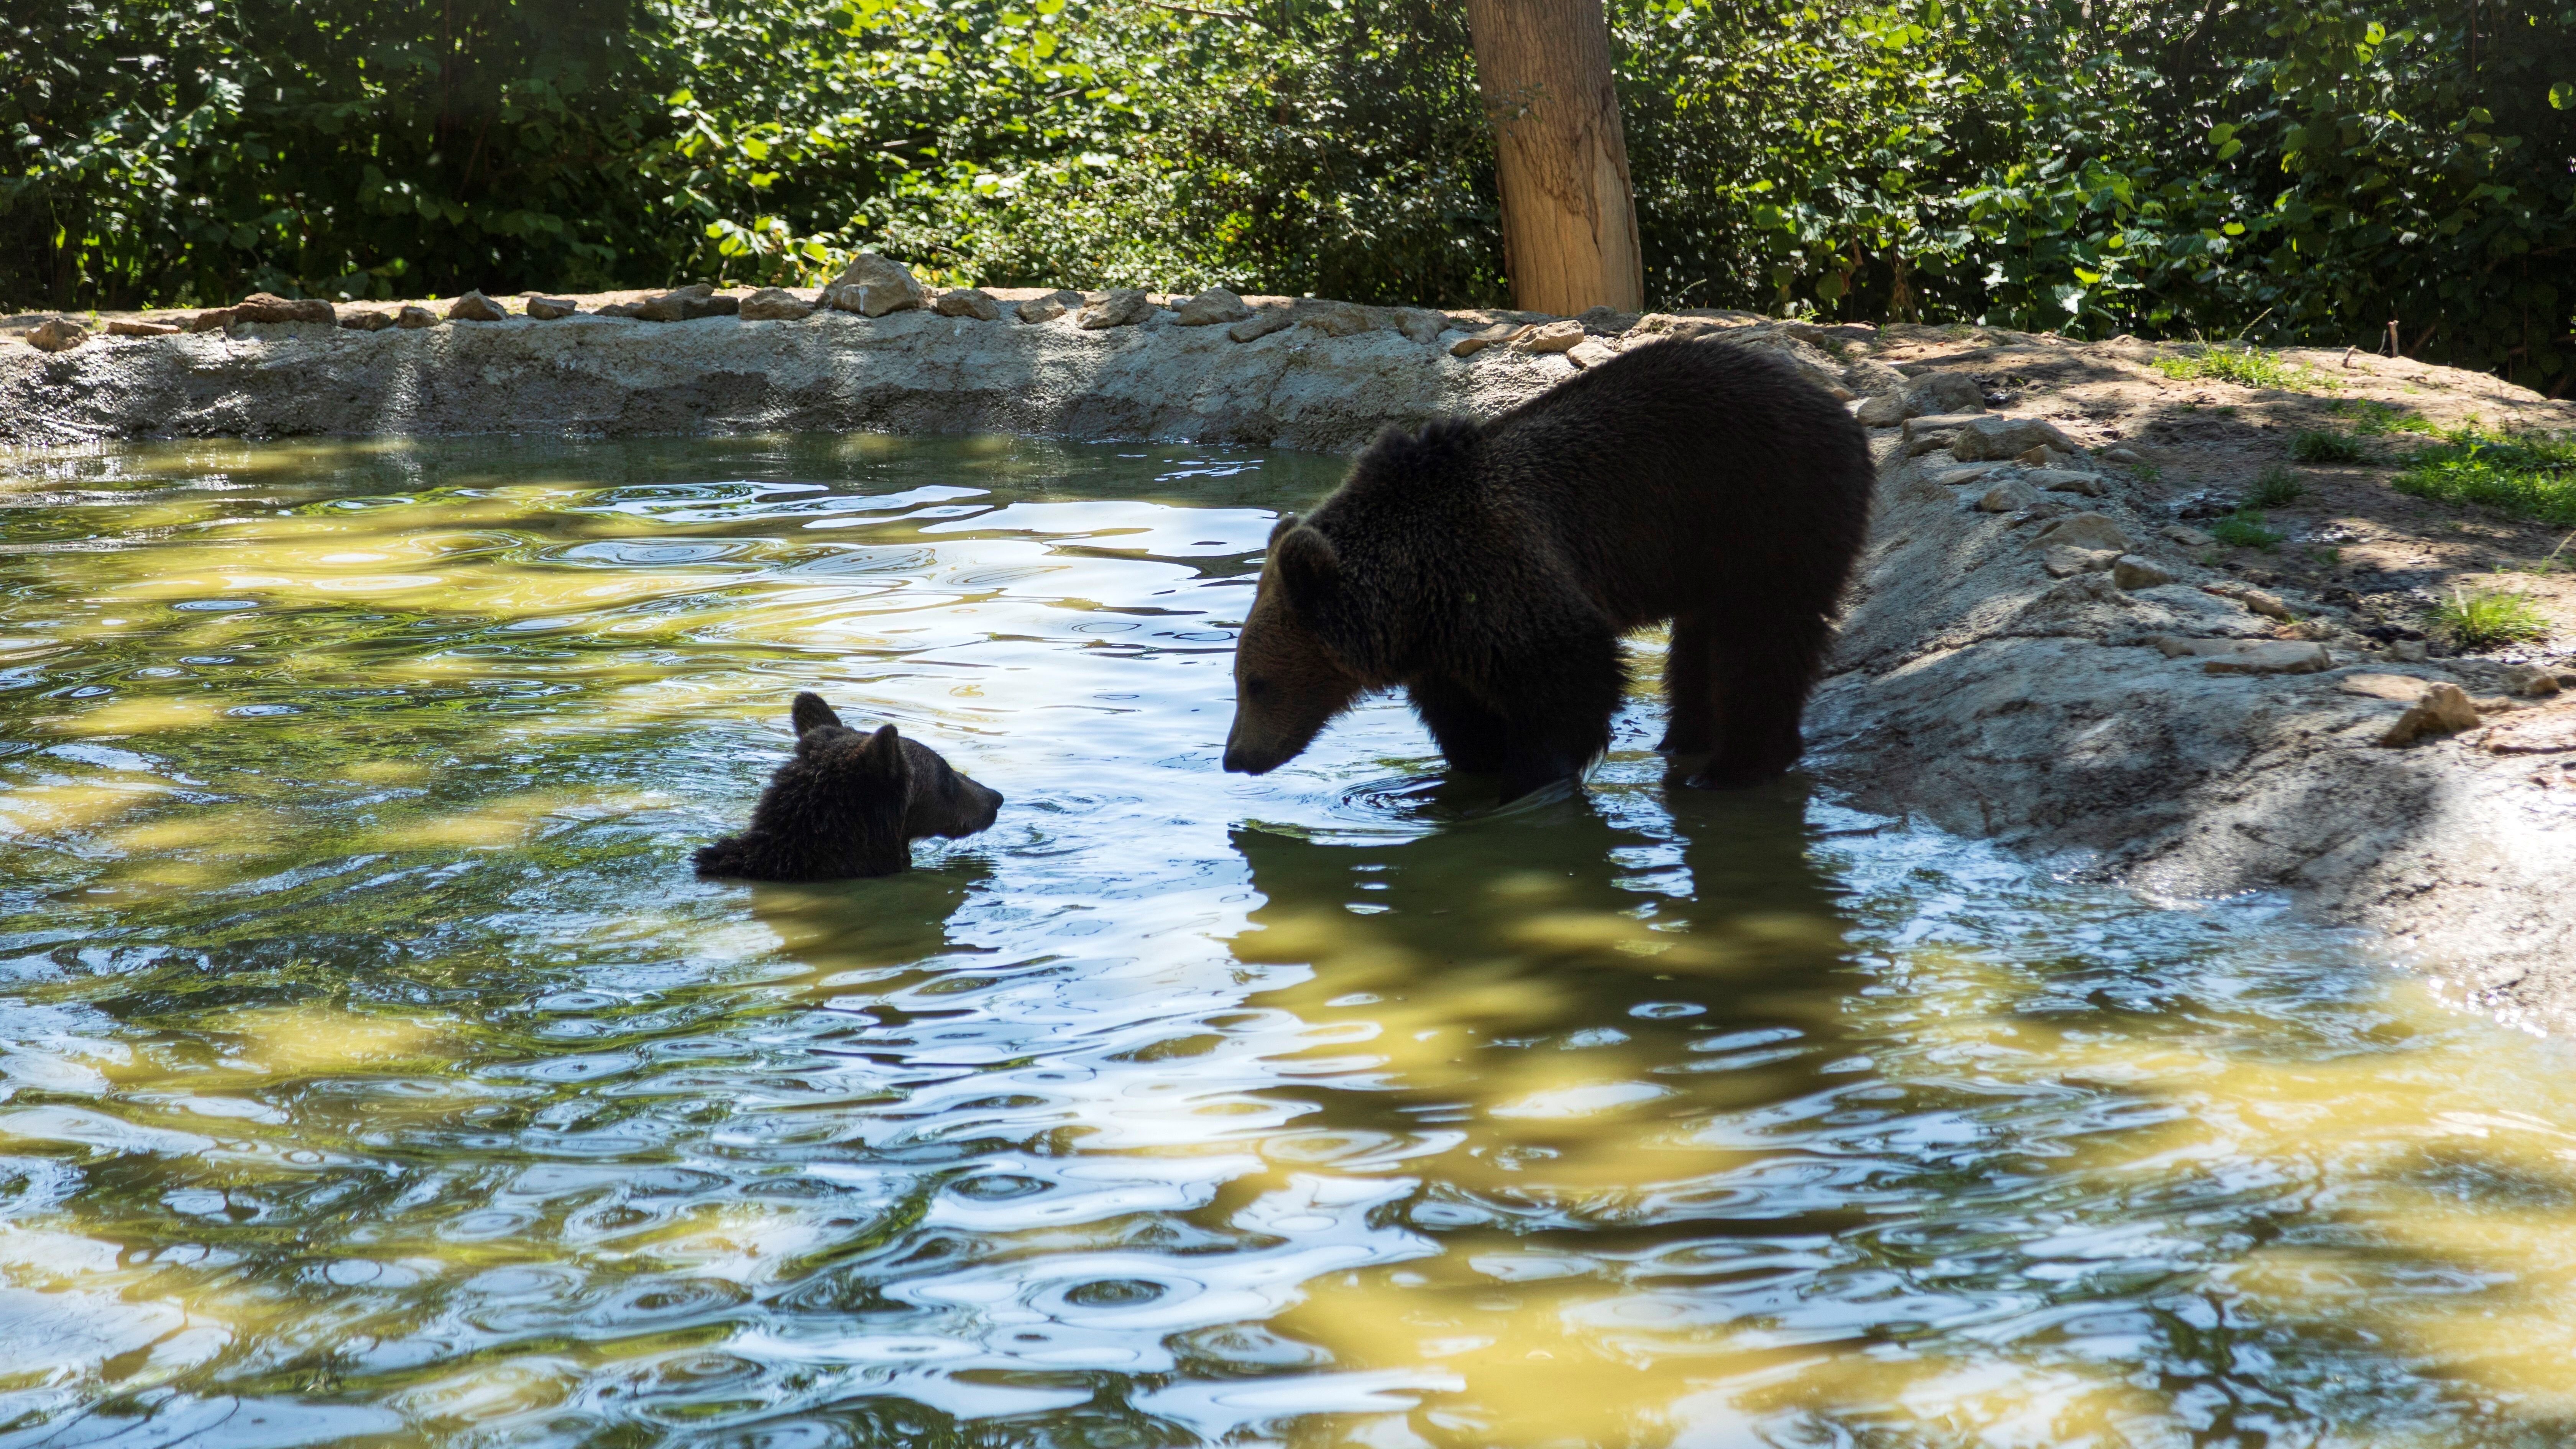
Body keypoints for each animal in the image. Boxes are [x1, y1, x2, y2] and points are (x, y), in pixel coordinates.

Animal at [1226, 332, 1875, 794]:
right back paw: (1682, 741)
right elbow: (1462, 715)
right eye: (1240, 680)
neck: (1413, 593)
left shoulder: (1497, 568)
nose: (1236, 758)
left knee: (1762, 636)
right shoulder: (1443, 638)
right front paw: (1474, 763)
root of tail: (1839, 409)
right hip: (1709, 551)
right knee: (1701, 642)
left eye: (1256, 683)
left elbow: (1570, 675)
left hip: (1768, 508)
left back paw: (1736, 767)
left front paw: (1531, 775)